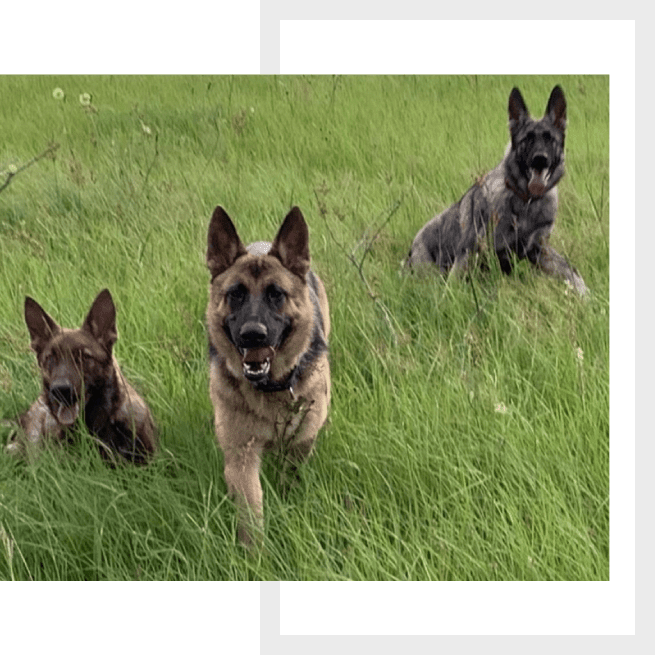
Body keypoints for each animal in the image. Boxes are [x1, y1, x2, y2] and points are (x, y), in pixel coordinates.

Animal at [206, 208, 330, 544]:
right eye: (235, 294)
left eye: (276, 295)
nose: (253, 335)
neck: (270, 388)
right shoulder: (241, 457)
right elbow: (251, 510)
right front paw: (256, 552)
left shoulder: (301, 445)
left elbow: (291, 478)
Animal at [404, 84, 588, 294]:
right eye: (527, 139)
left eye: (550, 139)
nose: (540, 159)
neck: (526, 202)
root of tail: (411, 249)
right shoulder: (473, 254)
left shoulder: (541, 251)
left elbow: (570, 271)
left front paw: (585, 293)